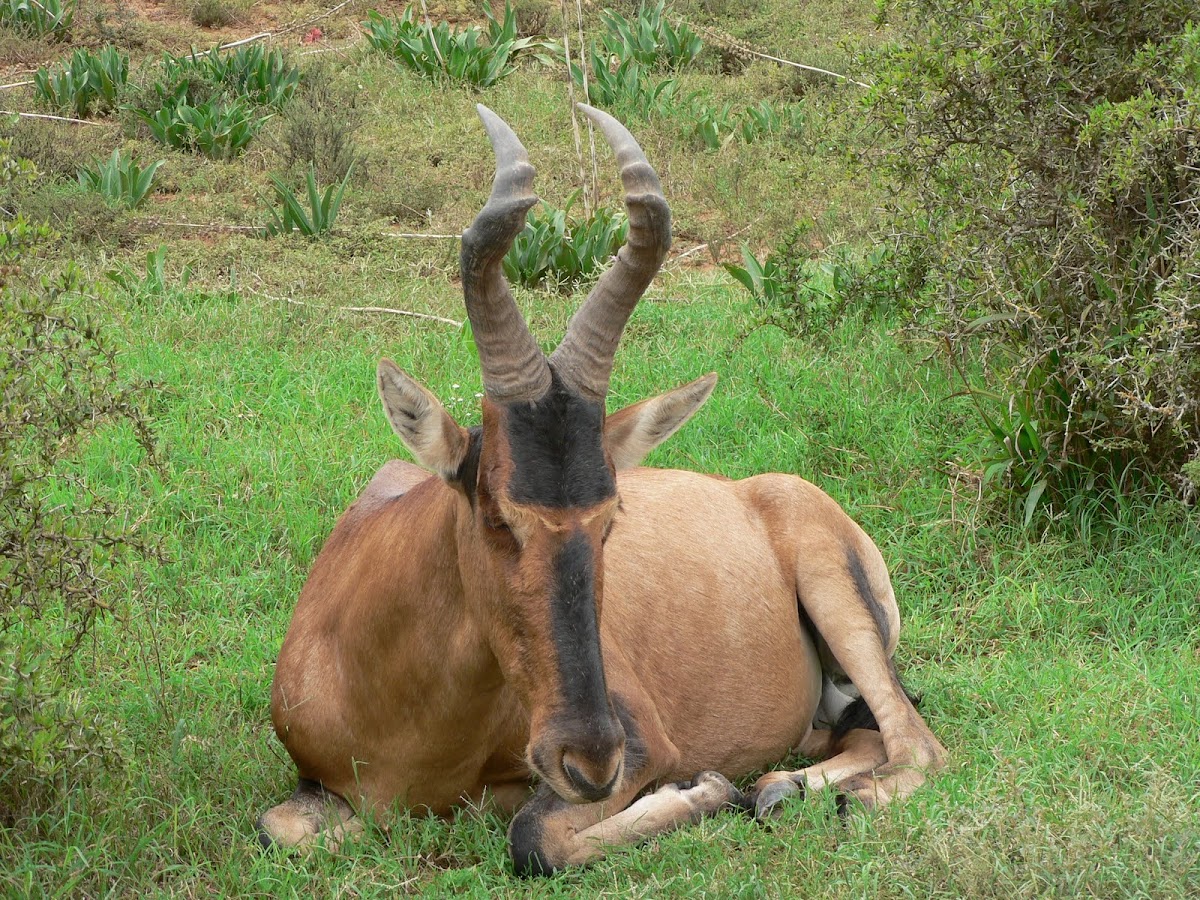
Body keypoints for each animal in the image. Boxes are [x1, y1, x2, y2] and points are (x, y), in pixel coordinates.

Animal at [262, 103, 945, 873]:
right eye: (495, 513)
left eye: (611, 515)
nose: (590, 760)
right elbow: (280, 829)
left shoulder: (641, 745)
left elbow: (533, 838)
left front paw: (703, 789)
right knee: (859, 736)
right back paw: (778, 788)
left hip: (841, 604)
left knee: (915, 742)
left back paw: (814, 795)